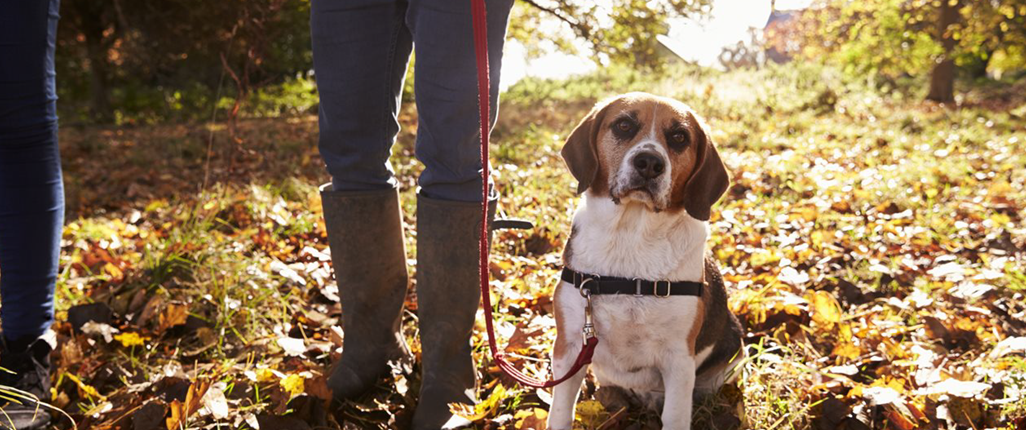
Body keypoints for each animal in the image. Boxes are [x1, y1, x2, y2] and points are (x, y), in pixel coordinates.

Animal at [545, 92, 746, 428]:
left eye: (679, 137)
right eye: (624, 125)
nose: (650, 163)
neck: (632, 236)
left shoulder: (679, 359)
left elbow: (675, 416)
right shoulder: (569, 346)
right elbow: (560, 413)